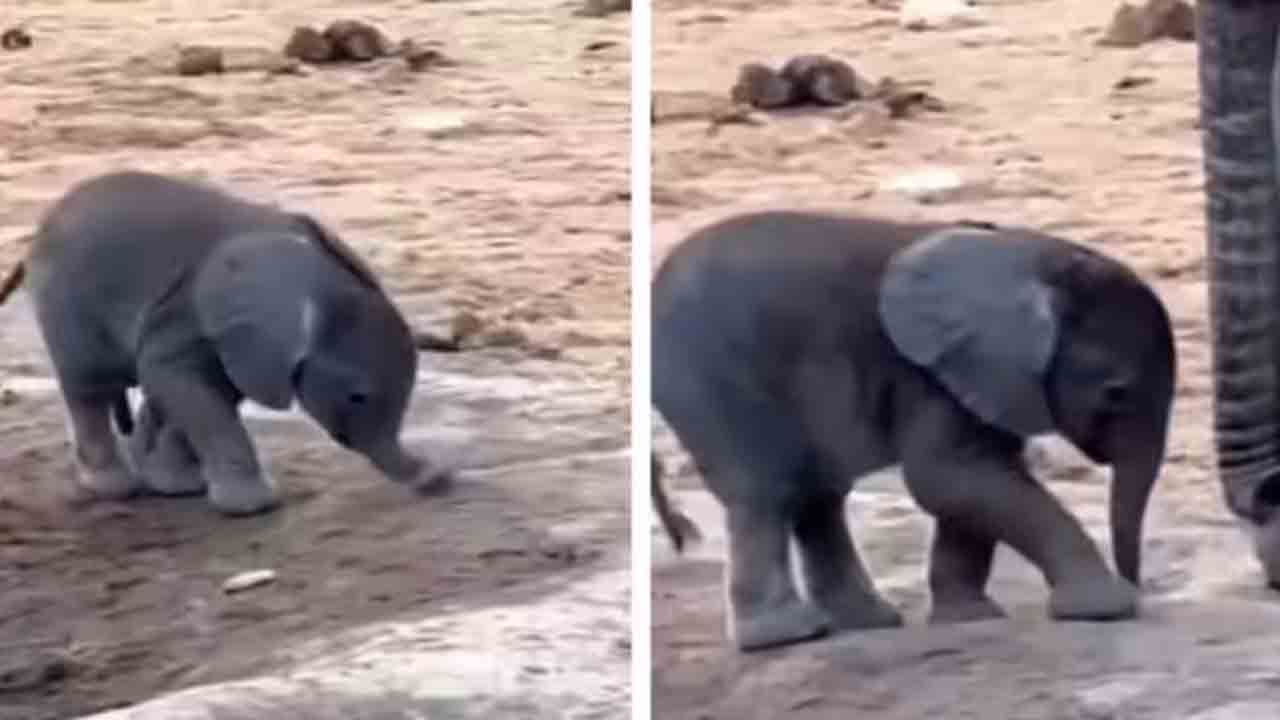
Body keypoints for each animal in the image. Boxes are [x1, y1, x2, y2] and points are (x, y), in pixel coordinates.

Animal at [0, 170, 451, 515]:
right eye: (357, 396)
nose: (438, 480)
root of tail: (35, 236)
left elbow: (208, 390)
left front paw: (184, 488)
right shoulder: (188, 312)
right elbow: (182, 384)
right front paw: (254, 507)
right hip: (64, 299)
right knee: (88, 386)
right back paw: (112, 488)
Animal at [651, 211, 1177, 652]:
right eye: (1116, 393)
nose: (1142, 591)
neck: (1031, 255)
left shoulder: (981, 375)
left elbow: (970, 483)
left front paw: (970, 618)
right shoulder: (930, 374)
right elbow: (949, 477)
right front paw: (1105, 608)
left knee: (818, 495)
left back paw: (867, 623)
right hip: (711, 376)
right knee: (768, 491)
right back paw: (789, 635)